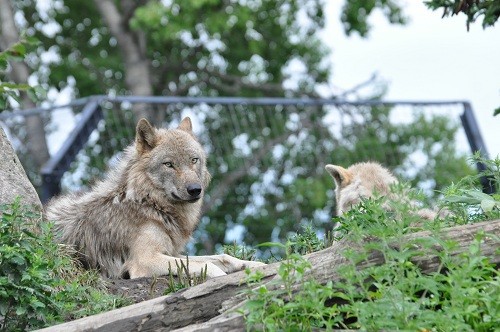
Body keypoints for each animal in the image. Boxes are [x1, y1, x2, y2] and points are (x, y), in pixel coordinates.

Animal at [47, 116, 266, 278]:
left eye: (194, 160)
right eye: (169, 164)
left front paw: (254, 265)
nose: (195, 189)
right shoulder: (146, 260)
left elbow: (223, 257)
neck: (149, 203)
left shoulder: (172, 252)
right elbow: (208, 266)